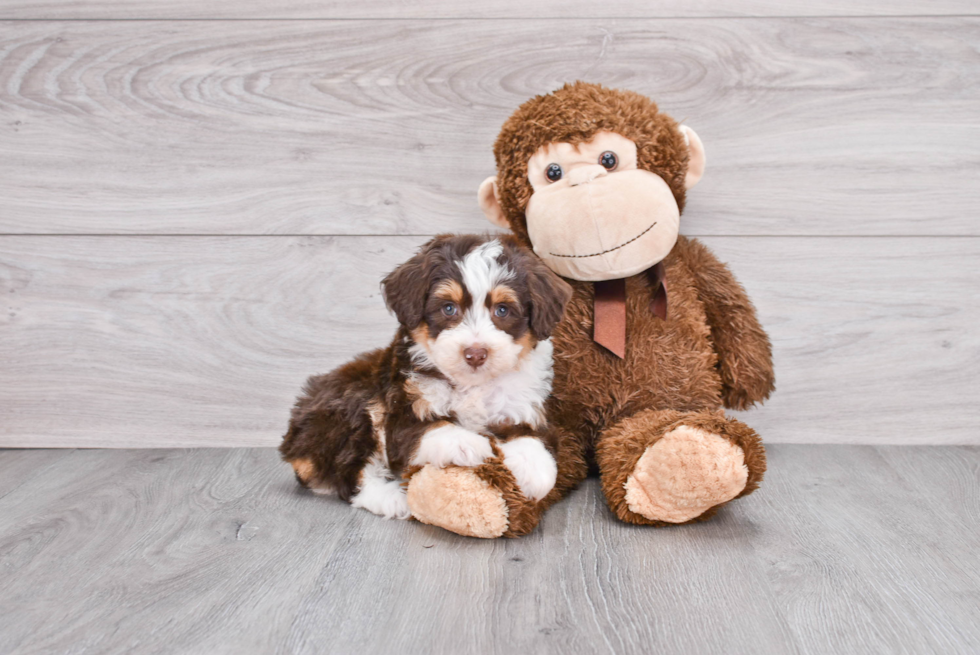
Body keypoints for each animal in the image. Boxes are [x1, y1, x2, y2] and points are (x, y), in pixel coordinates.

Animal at [280, 233, 576, 520]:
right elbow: (432, 428)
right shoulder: (403, 409)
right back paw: (394, 499)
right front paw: (469, 444)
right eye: (448, 308)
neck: (473, 386)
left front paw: (534, 474)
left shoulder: (526, 408)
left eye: (502, 310)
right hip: (354, 405)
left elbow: (534, 439)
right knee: (353, 475)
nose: (475, 354)